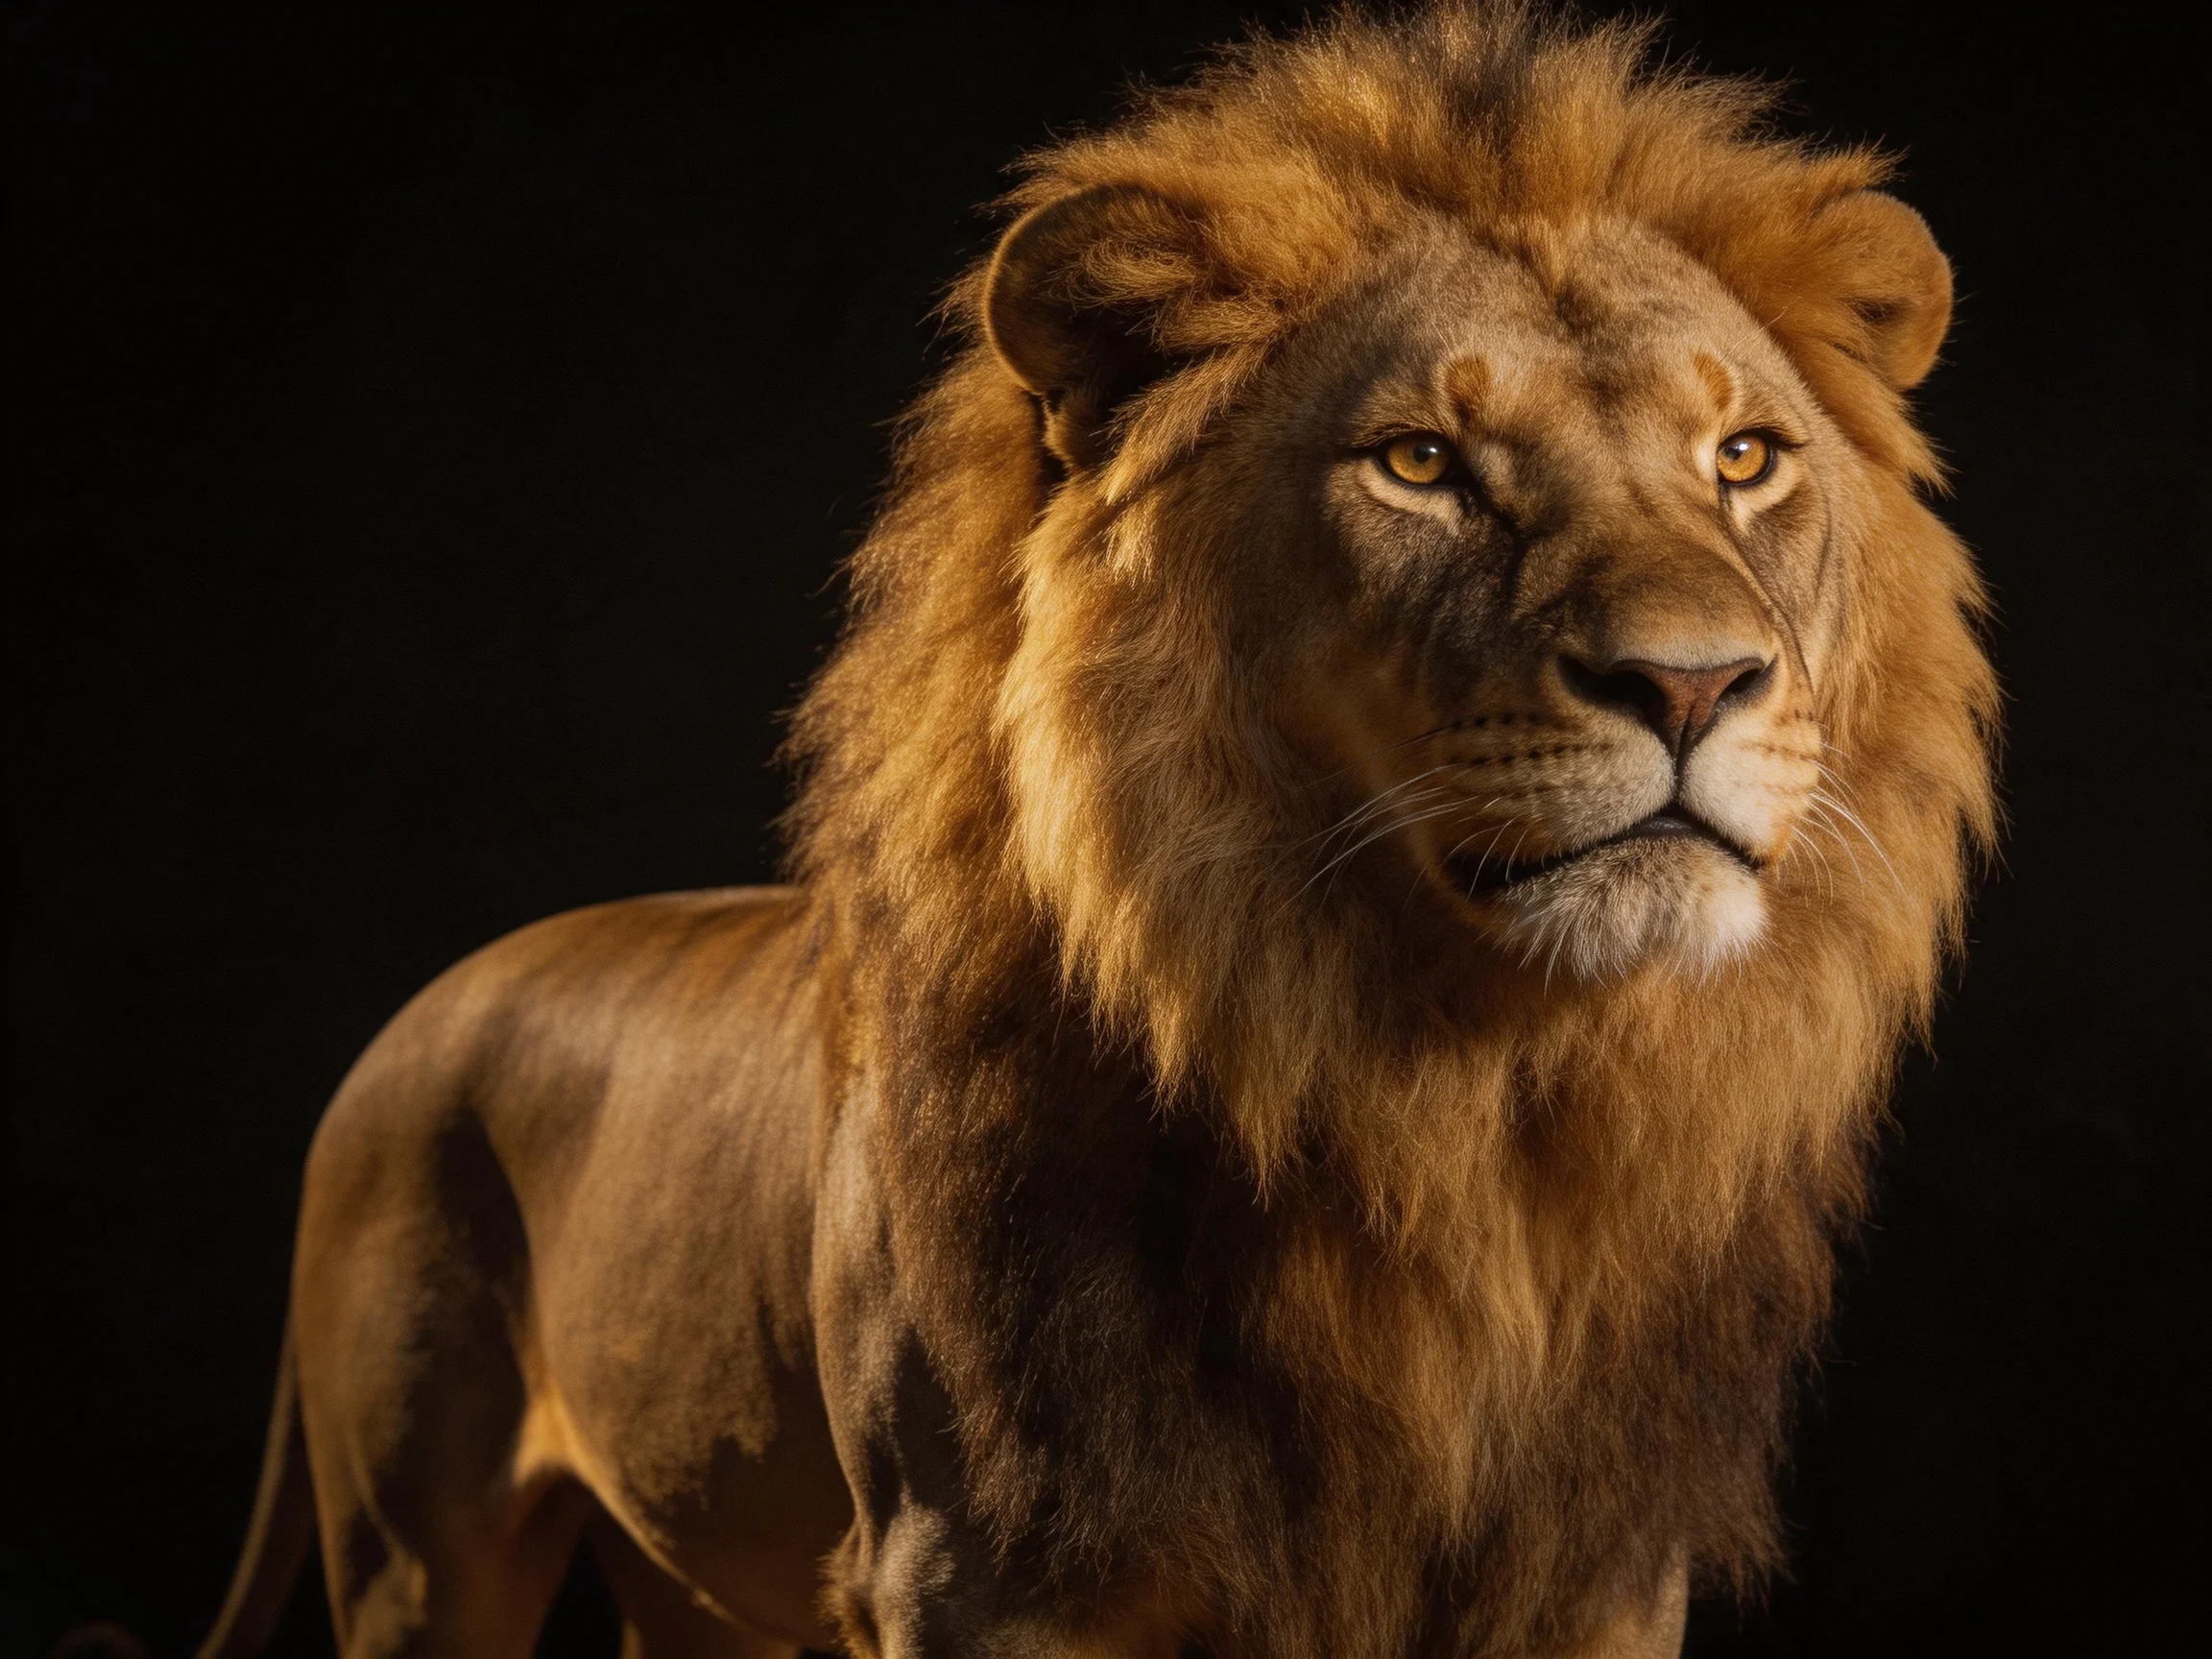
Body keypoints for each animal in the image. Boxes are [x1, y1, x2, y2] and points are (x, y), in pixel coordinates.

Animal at [192, 6, 1996, 1658]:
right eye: (1420, 462)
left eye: (1743, 456)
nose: (1691, 682)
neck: (1456, 1095)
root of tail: (429, 1008)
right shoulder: (976, 1569)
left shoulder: (1599, 1574)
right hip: (421, 1553)